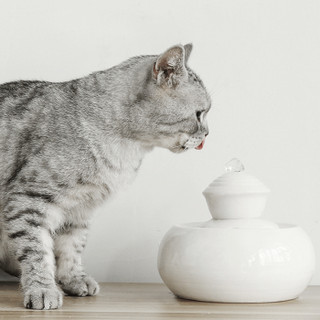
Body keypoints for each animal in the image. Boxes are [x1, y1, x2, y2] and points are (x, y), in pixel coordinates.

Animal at [0, 43, 210, 308]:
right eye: (199, 113)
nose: (207, 134)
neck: (127, 150)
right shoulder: (29, 198)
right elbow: (37, 250)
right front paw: (42, 288)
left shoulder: (80, 208)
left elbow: (71, 247)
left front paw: (73, 279)